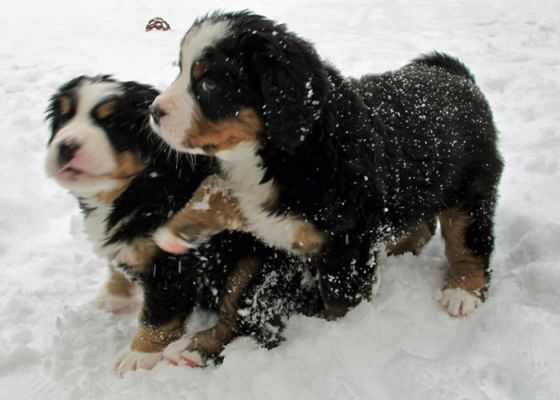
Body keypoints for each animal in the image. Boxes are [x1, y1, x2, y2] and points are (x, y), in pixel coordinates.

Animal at [46, 76, 324, 376]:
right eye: (63, 118)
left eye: (111, 123)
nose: (66, 146)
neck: (143, 185)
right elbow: (118, 263)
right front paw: (114, 296)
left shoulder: (174, 262)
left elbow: (159, 312)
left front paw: (139, 353)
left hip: (255, 268)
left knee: (247, 318)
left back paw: (192, 350)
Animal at [148, 10, 504, 318]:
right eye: (180, 70)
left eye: (209, 84)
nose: (154, 111)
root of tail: (456, 76)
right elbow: (216, 187)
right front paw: (178, 230)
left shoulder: (347, 242)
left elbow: (339, 298)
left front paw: (337, 329)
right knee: (424, 224)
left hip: (472, 187)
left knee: (470, 239)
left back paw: (462, 291)